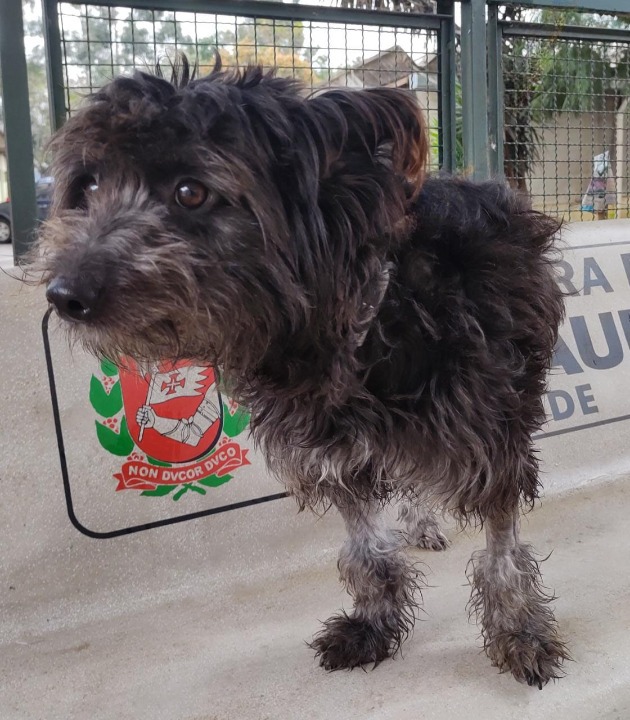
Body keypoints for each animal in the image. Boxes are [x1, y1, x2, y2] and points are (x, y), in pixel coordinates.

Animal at [33, 56, 568, 688]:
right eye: (88, 185)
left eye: (191, 192)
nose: (65, 295)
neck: (359, 331)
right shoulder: (333, 456)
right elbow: (366, 552)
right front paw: (374, 624)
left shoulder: (490, 449)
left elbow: (501, 557)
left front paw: (519, 634)